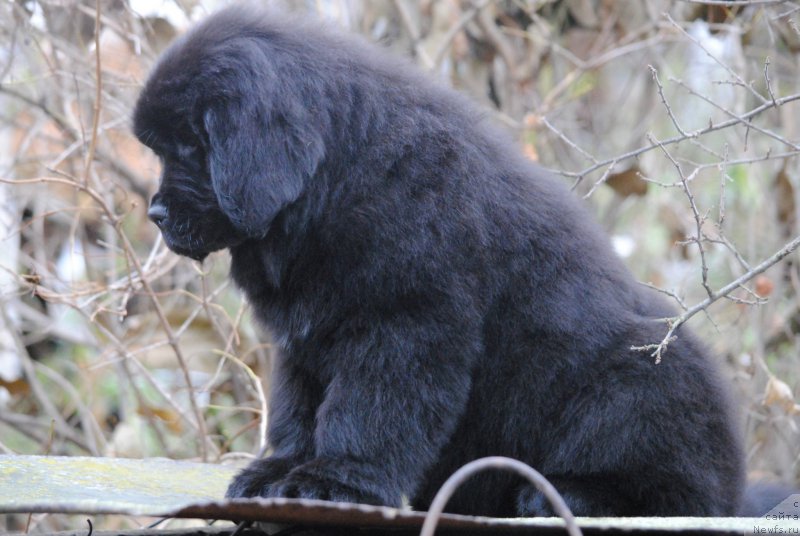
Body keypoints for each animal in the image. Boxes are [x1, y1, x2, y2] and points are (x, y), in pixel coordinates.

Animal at [134, 5, 748, 516]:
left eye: (188, 147)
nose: (154, 214)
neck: (337, 183)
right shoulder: (306, 335)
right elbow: (299, 407)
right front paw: (279, 471)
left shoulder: (405, 323)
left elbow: (367, 407)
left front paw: (333, 482)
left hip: (638, 377)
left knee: (677, 492)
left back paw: (570, 495)